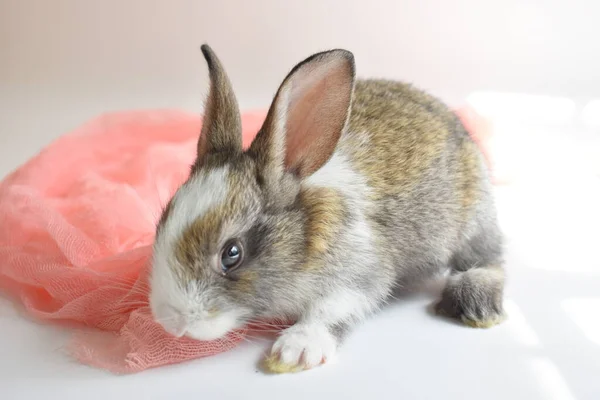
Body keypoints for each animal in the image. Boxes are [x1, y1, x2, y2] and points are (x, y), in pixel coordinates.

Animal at [148, 45, 504, 374]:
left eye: (231, 254)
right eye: (161, 224)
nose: (171, 322)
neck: (303, 233)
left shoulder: (359, 273)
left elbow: (331, 310)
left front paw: (294, 351)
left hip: (474, 223)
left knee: (489, 259)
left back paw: (475, 303)